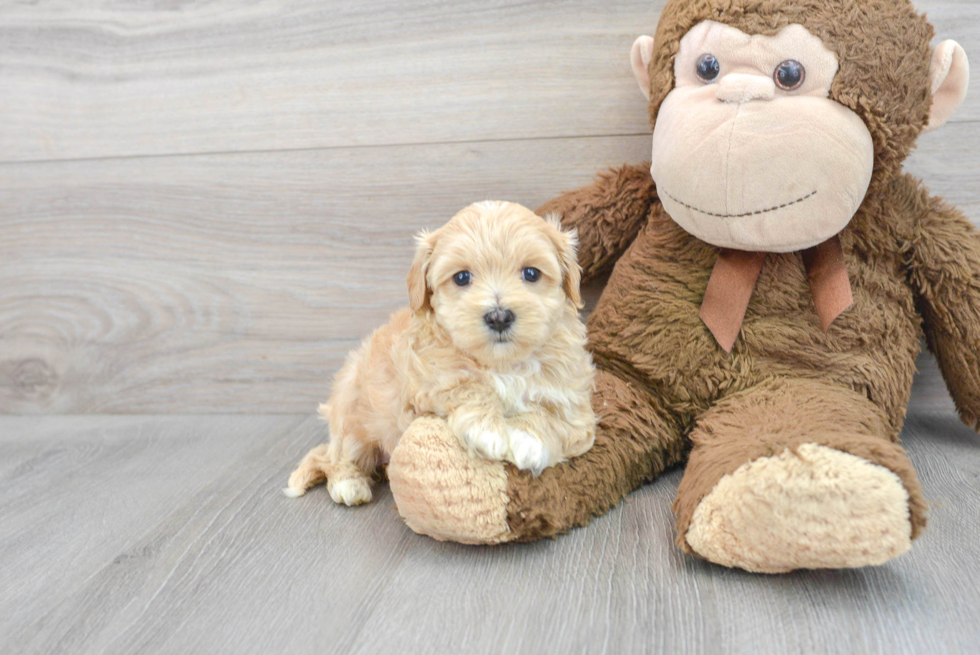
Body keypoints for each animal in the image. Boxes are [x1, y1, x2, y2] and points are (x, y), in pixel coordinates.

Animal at [284, 200, 596, 508]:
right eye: (462, 277)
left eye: (531, 273)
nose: (498, 317)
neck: (501, 364)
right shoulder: (421, 387)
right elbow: (464, 384)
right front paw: (489, 429)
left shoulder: (575, 405)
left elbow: (553, 417)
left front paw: (527, 439)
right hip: (352, 414)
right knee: (335, 456)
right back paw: (349, 484)